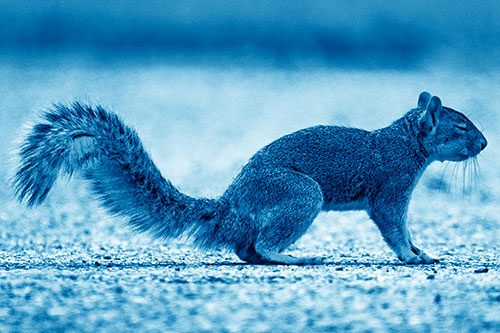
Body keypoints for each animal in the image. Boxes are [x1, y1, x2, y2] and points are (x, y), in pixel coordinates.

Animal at [13, 91, 486, 264]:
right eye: (460, 126)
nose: (483, 144)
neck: (406, 142)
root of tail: (231, 206)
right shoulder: (391, 186)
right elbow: (393, 227)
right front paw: (411, 256)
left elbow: (405, 228)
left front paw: (422, 251)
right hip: (301, 194)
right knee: (261, 244)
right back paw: (295, 258)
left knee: (246, 250)